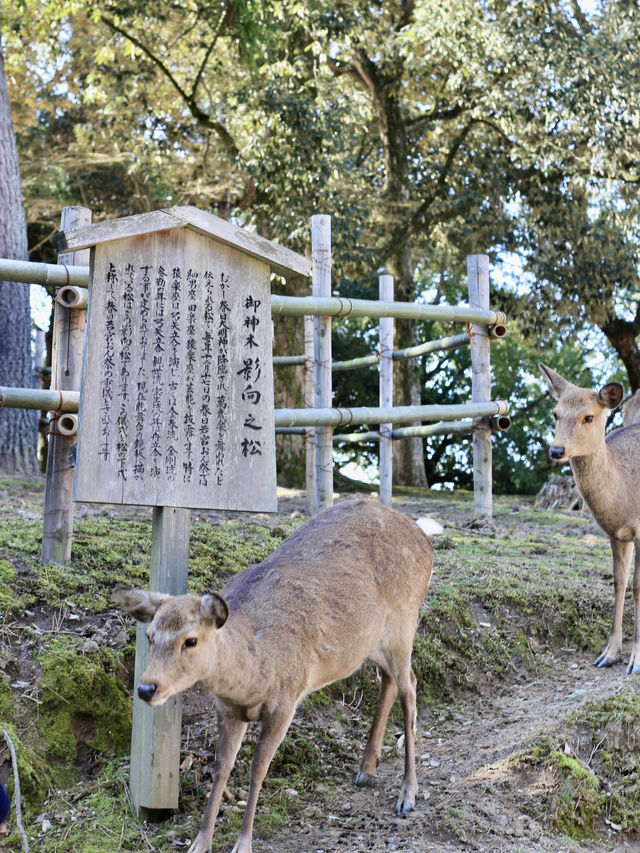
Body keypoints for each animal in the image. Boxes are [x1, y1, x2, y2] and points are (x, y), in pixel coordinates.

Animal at [115, 500, 436, 852]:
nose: (146, 688)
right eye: (149, 636)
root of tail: (425, 538)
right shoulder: (228, 709)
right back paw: (366, 769)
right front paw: (199, 843)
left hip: (404, 622)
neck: (253, 674)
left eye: (191, 640)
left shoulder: (286, 699)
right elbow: (221, 767)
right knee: (389, 681)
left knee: (411, 688)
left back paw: (407, 793)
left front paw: (243, 844)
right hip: (372, 642)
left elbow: (258, 768)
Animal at [540, 362, 640, 676]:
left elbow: (637, 586)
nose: (556, 450)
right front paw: (609, 654)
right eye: (555, 413)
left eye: (589, 416)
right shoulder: (616, 533)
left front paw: (636, 661)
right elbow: (619, 583)